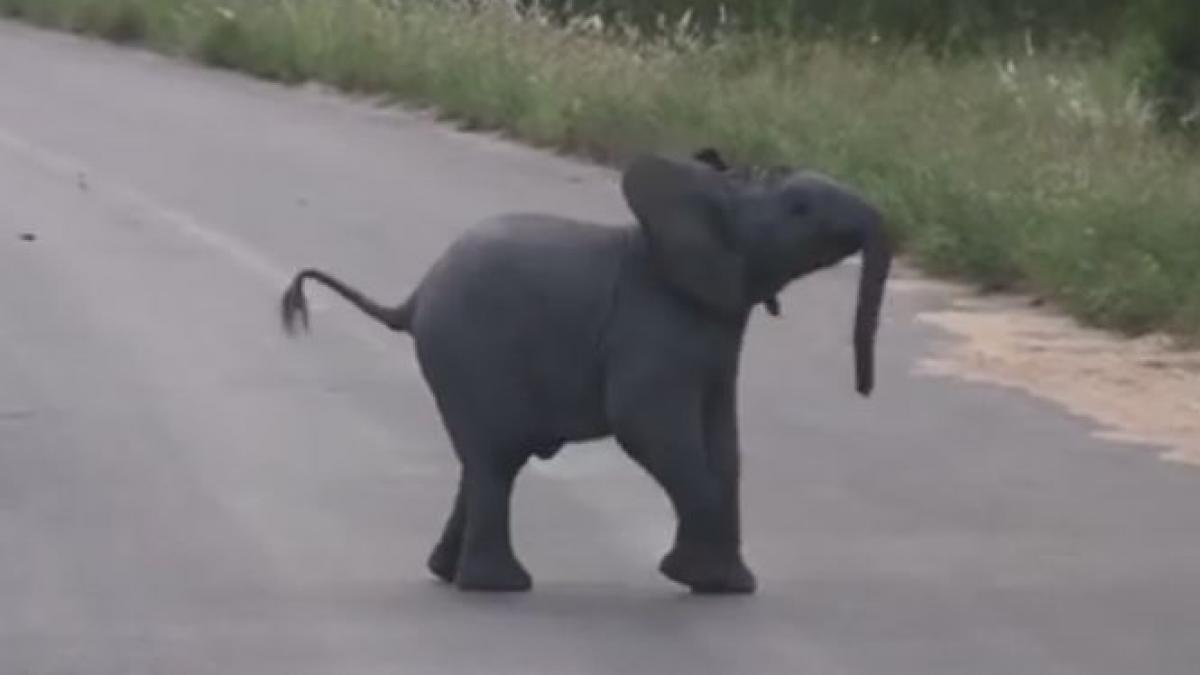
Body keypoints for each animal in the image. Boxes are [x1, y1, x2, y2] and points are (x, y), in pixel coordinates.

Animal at [279, 148, 892, 593]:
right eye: (800, 208)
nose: (864, 389)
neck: (714, 194)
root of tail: (413, 297)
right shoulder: (654, 324)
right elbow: (649, 427)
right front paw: (699, 579)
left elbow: (724, 444)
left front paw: (729, 586)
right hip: (470, 353)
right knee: (496, 461)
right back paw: (498, 587)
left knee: (480, 464)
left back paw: (449, 575)